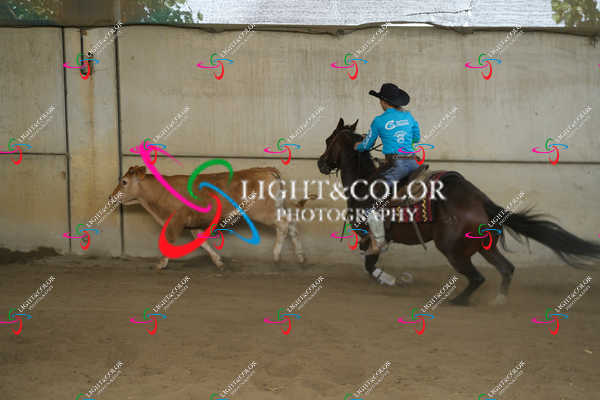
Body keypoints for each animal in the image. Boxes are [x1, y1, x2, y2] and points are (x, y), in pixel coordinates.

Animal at [317, 118, 600, 305]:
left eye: (329, 140)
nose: (321, 163)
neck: (364, 181)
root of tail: (481, 201)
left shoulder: (369, 235)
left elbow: (369, 264)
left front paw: (393, 280)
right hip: (484, 246)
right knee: (506, 269)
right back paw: (498, 299)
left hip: (452, 249)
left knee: (477, 278)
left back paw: (457, 301)